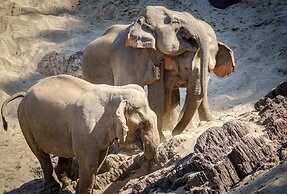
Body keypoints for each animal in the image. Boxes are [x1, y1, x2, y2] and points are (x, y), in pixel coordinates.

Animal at [1, 74, 161, 194]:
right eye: (144, 124)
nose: (151, 163)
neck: (115, 91)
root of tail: (25, 93)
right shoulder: (87, 129)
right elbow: (89, 163)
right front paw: (82, 190)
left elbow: (99, 159)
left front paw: (78, 186)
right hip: (25, 121)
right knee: (40, 154)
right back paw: (53, 187)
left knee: (64, 152)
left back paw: (67, 181)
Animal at [81, 5, 236, 139]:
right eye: (175, 22)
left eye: (210, 69)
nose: (174, 133)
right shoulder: (124, 59)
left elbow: (158, 94)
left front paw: (161, 138)